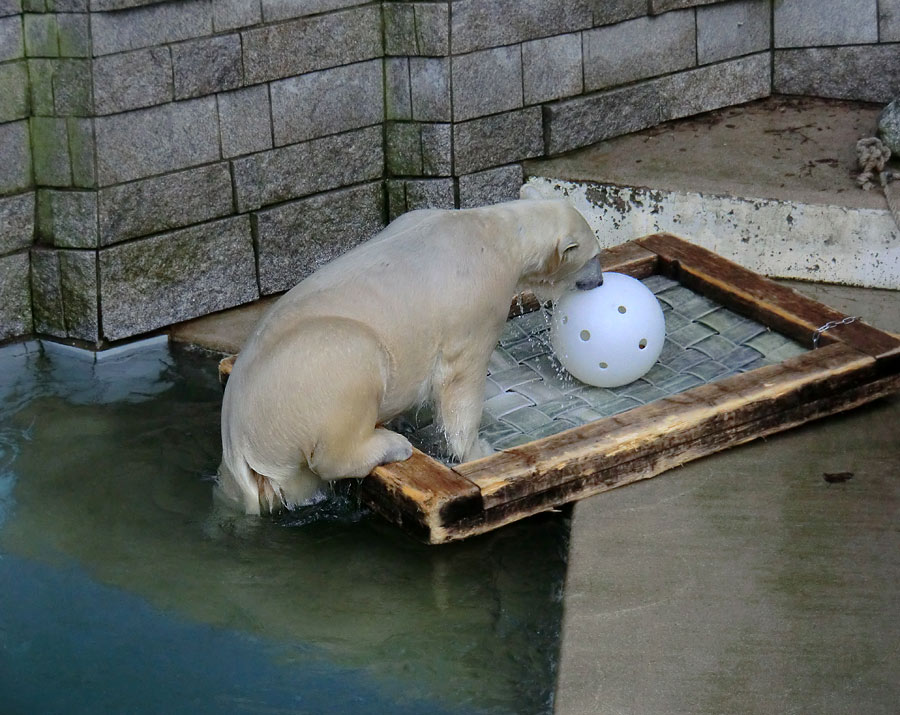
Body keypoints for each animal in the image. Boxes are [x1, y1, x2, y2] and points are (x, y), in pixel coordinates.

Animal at [214, 190, 600, 516]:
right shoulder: (479, 299)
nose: (598, 281)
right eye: (595, 256)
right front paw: (478, 448)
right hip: (315, 376)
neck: (495, 231)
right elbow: (461, 380)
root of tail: (238, 442)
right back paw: (393, 444)